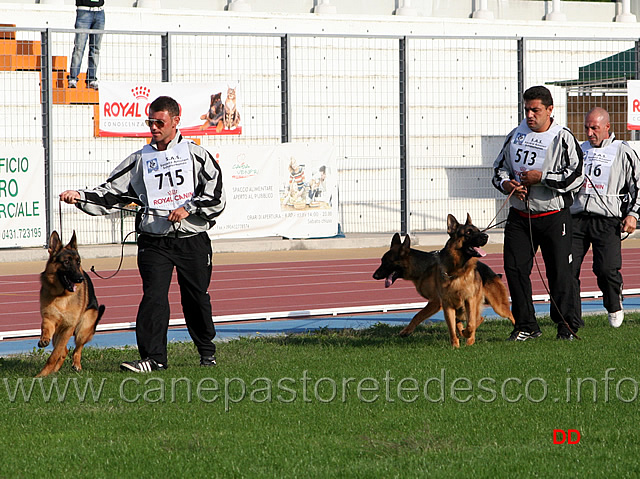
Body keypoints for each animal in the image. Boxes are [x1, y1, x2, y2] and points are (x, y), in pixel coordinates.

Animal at [37, 232, 105, 378]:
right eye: (66, 262)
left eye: (78, 262)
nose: (80, 279)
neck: (62, 296)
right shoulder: (49, 319)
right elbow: (46, 331)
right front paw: (43, 373)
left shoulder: (68, 328)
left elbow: (54, 355)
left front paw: (42, 373)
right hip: (58, 333)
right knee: (65, 351)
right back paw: (55, 370)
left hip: (82, 329)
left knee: (77, 349)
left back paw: (76, 365)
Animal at [370, 216, 516, 346]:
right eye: (382, 261)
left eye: (387, 262)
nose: (374, 276)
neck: (423, 267)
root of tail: (491, 271)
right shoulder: (448, 303)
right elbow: (455, 324)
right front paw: (458, 337)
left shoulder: (435, 302)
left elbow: (418, 315)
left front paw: (406, 331)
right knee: (476, 318)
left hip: (498, 306)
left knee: (509, 315)